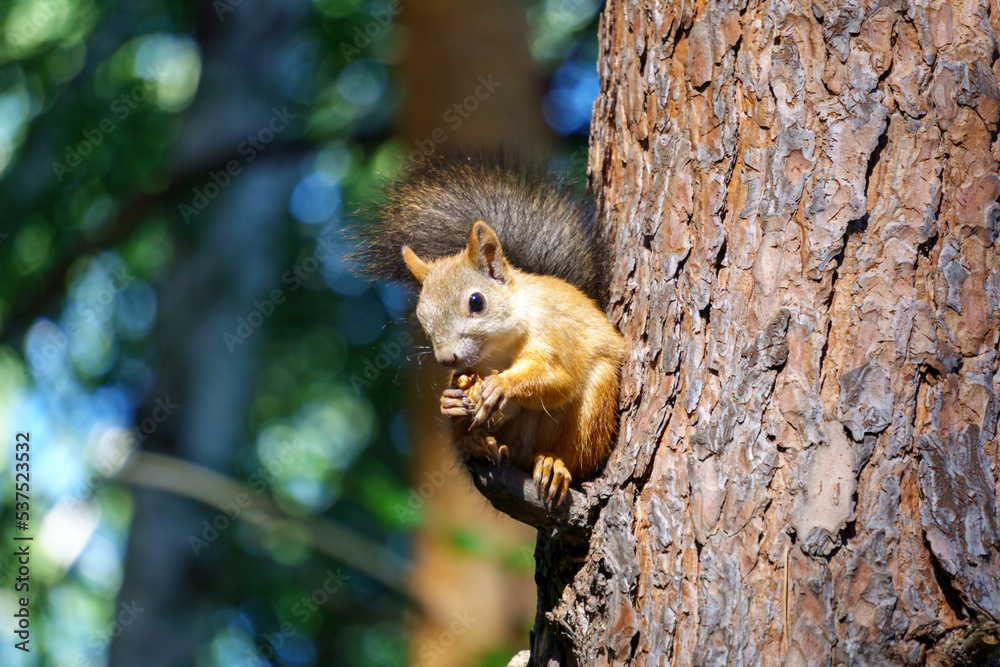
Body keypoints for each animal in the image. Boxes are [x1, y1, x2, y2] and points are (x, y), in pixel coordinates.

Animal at [355, 153, 624, 504]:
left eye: (476, 302)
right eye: (422, 318)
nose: (447, 359)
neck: (500, 348)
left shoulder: (553, 330)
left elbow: (558, 377)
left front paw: (501, 386)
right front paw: (450, 399)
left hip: (595, 406)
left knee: (577, 456)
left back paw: (553, 463)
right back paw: (479, 442)